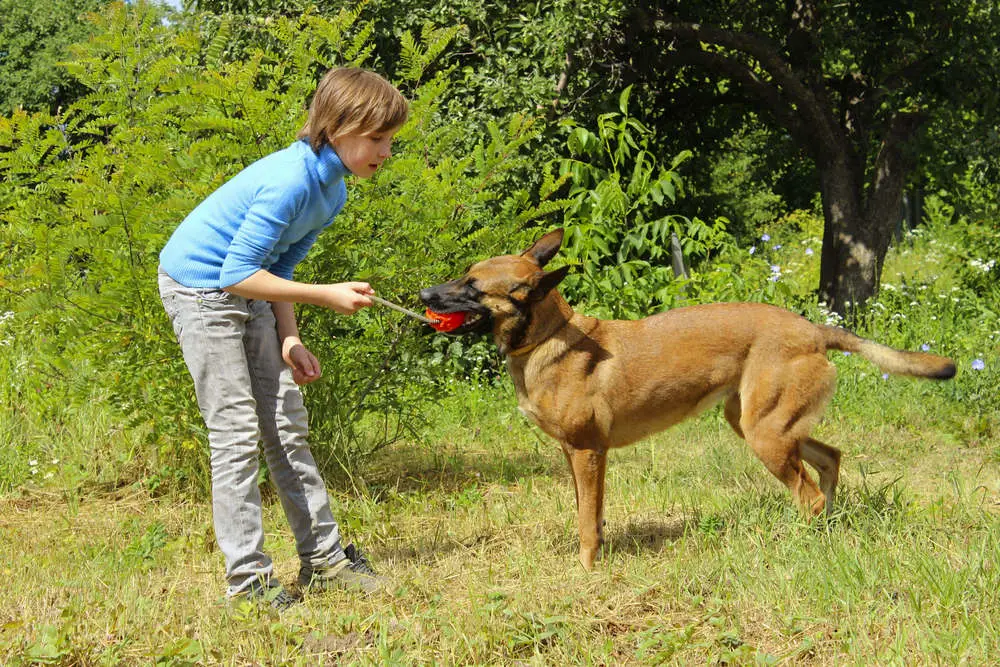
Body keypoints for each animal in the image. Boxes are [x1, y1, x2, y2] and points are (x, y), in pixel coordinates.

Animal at [418, 230, 956, 568]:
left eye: (471, 287)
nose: (423, 294)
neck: (550, 338)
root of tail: (814, 330)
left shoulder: (588, 451)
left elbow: (587, 522)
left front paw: (588, 571)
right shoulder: (575, 456)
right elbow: (590, 512)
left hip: (766, 435)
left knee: (810, 495)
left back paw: (801, 542)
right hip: (765, 425)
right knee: (830, 463)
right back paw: (829, 527)